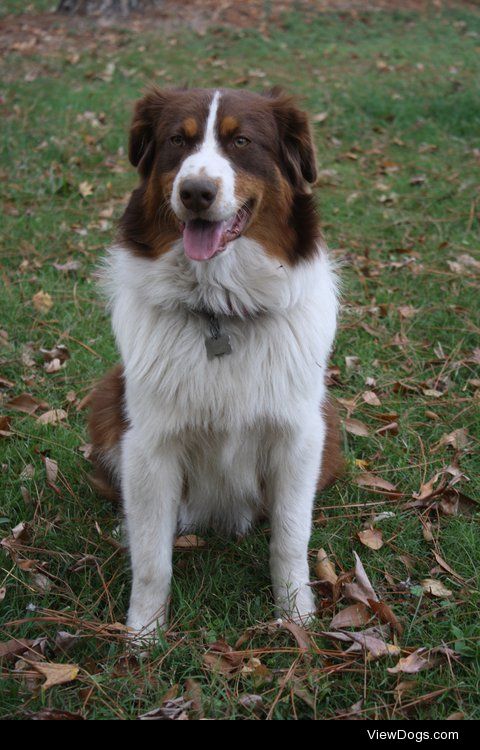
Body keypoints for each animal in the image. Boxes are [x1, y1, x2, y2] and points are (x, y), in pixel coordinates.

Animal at [87, 88, 342, 640]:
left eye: (241, 141)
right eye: (176, 141)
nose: (196, 193)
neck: (219, 311)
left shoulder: (300, 436)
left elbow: (290, 537)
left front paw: (297, 617)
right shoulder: (149, 445)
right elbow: (152, 557)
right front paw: (143, 636)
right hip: (108, 398)